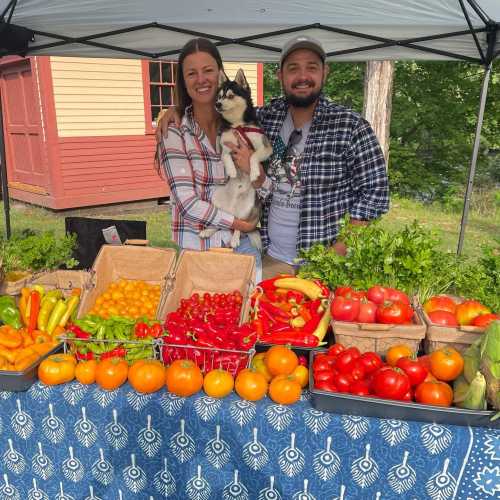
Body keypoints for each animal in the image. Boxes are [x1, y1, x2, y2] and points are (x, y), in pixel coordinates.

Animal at [198, 69, 272, 249]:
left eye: (230, 96)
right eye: (218, 97)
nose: (217, 104)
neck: (238, 125)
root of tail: (232, 208)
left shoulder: (266, 148)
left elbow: (253, 155)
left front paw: (254, 173)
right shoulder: (224, 146)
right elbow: (226, 156)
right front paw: (231, 170)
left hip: (246, 208)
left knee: (238, 224)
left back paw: (235, 239)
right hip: (217, 199)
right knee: (223, 222)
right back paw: (208, 231)